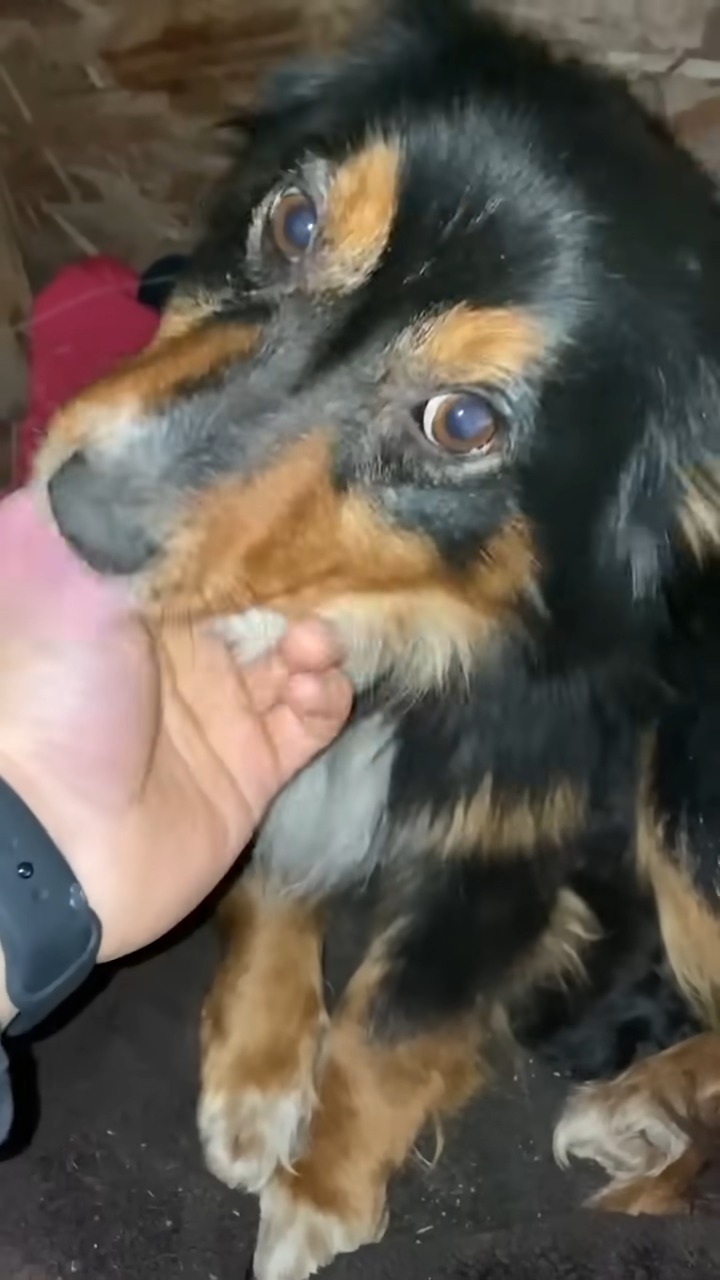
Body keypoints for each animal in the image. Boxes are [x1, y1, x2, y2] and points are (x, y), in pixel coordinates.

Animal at [35, 2, 720, 1269]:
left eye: (463, 423)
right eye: (295, 222)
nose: (79, 513)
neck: (406, 623)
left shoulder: (508, 838)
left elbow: (393, 1027)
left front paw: (324, 1187)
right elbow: (271, 872)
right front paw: (255, 1072)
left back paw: (642, 1096)